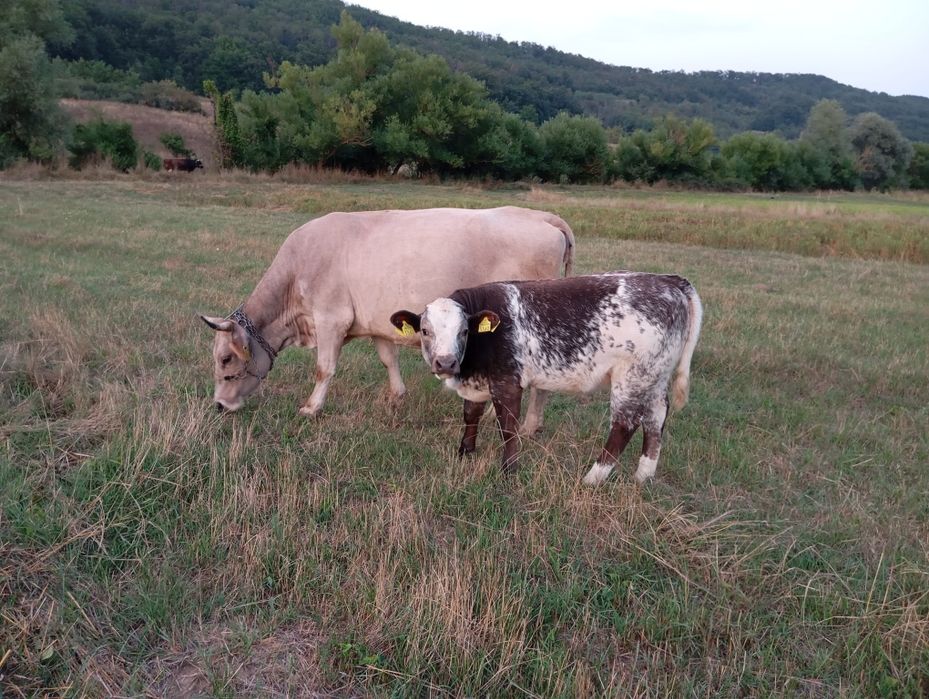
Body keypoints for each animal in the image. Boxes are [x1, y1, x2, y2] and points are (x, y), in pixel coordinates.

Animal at [200, 207, 575, 421]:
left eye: (225, 359)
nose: (219, 405)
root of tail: (539, 215)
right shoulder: (377, 322)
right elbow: (388, 359)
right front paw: (396, 396)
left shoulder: (330, 318)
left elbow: (324, 368)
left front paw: (311, 408)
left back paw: (523, 425)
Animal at [389, 272, 703, 484]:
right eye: (425, 331)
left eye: (464, 331)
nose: (446, 362)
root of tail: (667, 282)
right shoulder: (476, 385)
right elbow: (470, 415)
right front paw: (465, 452)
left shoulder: (507, 382)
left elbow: (508, 427)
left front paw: (509, 469)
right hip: (655, 375)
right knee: (656, 418)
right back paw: (643, 476)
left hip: (633, 377)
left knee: (624, 425)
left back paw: (592, 478)